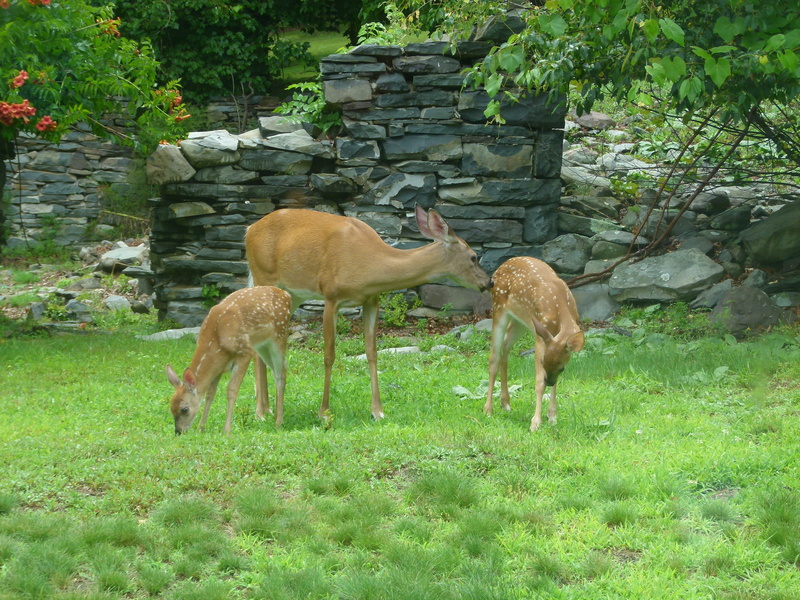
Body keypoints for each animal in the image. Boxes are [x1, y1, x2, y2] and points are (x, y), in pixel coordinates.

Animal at [165, 285, 292, 435]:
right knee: (275, 371)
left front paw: (227, 430)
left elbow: (231, 390)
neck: (216, 340)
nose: (178, 431)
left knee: (281, 375)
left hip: (279, 336)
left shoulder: (244, 352)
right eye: (171, 408)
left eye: (184, 409)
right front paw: (201, 427)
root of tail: (286, 294)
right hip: (263, 346)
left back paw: (279, 423)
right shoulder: (219, 366)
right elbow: (210, 394)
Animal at [245, 204, 491, 422]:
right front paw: (324, 412)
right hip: (263, 276)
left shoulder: (371, 300)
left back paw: (266, 408)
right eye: (473, 256)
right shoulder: (331, 296)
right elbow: (329, 355)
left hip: (293, 294)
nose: (489, 282)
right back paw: (261, 412)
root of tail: (249, 230)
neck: (368, 265)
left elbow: (372, 353)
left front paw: (377, 411)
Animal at [485, 256, 585, 432]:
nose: (549, 381)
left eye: (562, 368)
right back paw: (488, 410)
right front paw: (535, 423)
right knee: (494, 358)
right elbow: (538, 382)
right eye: (543, 362)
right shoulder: (541, 338)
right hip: (499, 308)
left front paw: (552, 417)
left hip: (521, 320)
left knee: (505, 348)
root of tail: (500, 267)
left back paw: (506, 403)